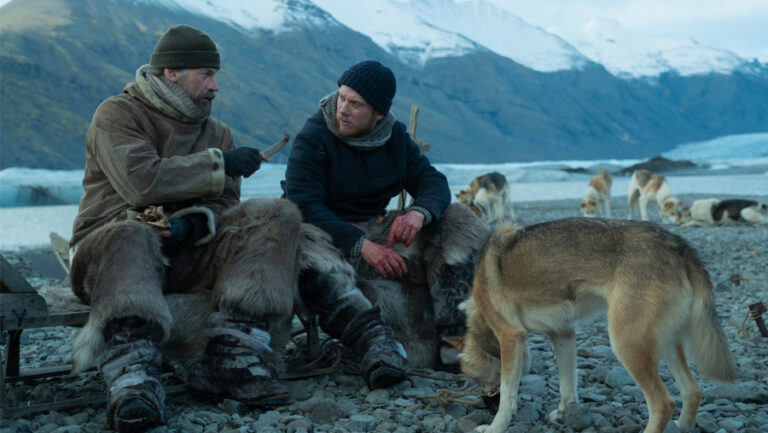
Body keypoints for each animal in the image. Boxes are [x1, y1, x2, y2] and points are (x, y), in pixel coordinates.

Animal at [452, 218, 736, 432]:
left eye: (477, 379)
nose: (485, 402)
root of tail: (680, 246)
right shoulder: (563, 334)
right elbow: (568, 386)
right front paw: (564, 415)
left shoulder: (511, 337)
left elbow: (508, 395)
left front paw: (494, 427)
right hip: (663, 343)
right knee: (692, 390)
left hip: (627, 344)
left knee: (663, 403)